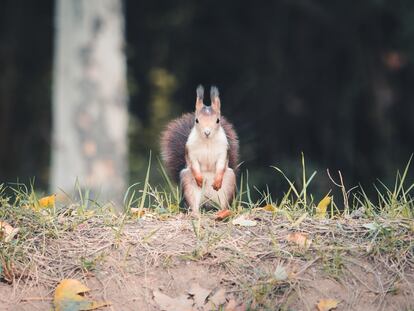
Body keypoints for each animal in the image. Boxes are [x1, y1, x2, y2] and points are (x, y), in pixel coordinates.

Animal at [161, 86, 239, 216]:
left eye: (218, 120)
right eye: (196, 120)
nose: (207, 132)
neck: (207, 141)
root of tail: (208, 201)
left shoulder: (223, 151)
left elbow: (221, 165)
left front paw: (217, 181)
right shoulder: (191, 151)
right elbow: (194, 164)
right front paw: (199, 179)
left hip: (228, 183)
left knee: (224, 204)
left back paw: (222, 213)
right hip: (188, 184)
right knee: (193, 204)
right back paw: (196, 214)